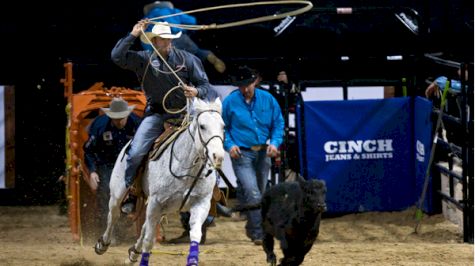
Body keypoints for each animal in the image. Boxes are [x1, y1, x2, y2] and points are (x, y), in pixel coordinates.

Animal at [96, 98, 226, 266]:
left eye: (223, 126)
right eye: (202, 126)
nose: (218, 156)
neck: (185, 168)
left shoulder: (201, 203)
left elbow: (195, 235)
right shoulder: (155, 202)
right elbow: (149, 240)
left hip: (163, 207)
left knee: (144, 225)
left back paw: (133, 253)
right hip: (118, 193)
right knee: (113, 215)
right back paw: (103, 244)